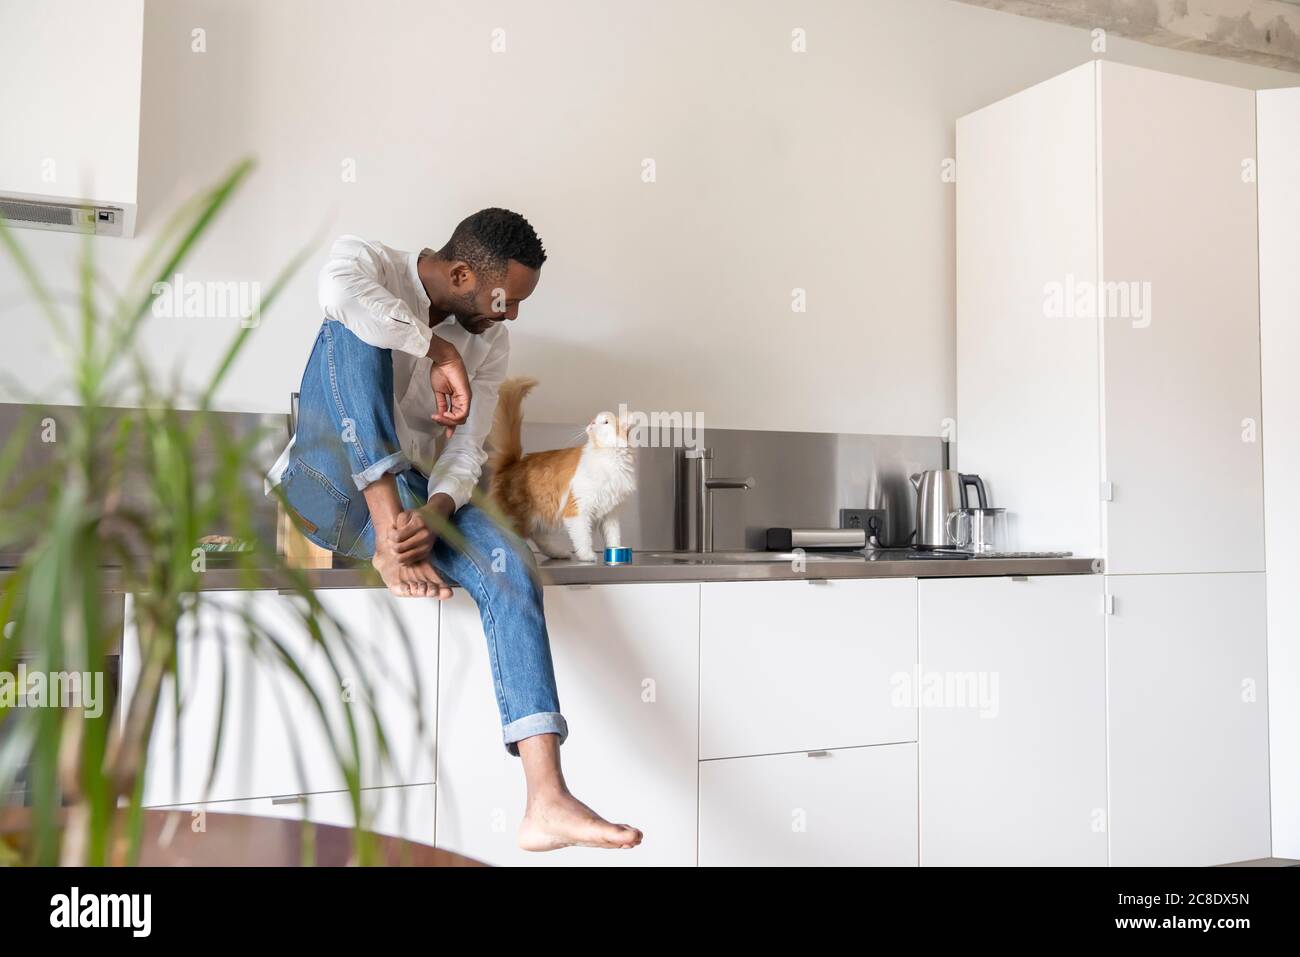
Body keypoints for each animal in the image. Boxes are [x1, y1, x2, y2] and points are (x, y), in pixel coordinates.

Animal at [488, 379, 634, 564]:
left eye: (605, 422)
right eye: (594, 420)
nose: (591, 423)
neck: (606, 458)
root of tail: (512, 463)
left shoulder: (611, 513)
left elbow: (614, 537)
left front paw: (616, 554)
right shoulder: (578, 509)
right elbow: (583, 538)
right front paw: (587, 555)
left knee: (539, 538)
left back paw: (558, 553)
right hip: (518, 516)